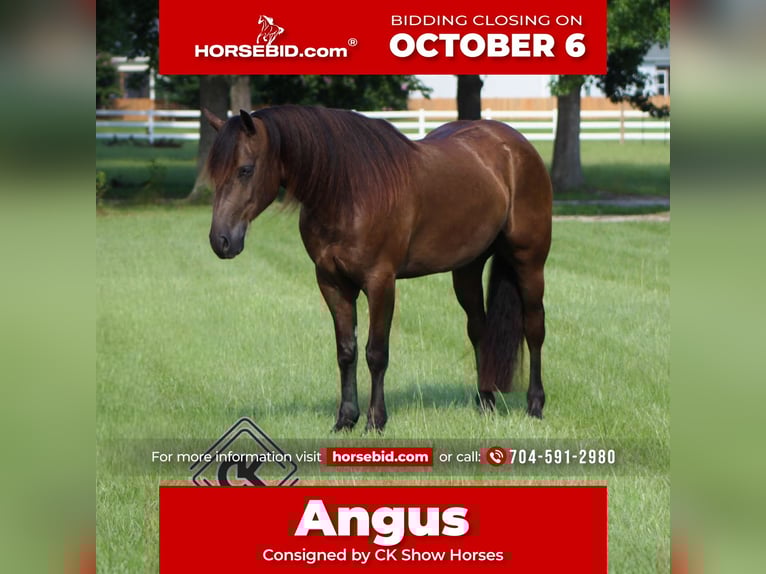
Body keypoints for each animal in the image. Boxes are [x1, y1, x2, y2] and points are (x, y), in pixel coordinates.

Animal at [203, 105, 552, 432]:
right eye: (214, 173)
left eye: (245, 169)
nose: (221, 241)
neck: (349, 192)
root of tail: (515, 144)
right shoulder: (331, 282)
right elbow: (346, 351)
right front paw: (345, 419)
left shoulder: (380, 282)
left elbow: (376, 353)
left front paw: (375, 420)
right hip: (467, 268)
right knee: (479, 329)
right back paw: (485, 403)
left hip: (529, 262)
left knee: (534, 329)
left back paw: (535, 405)